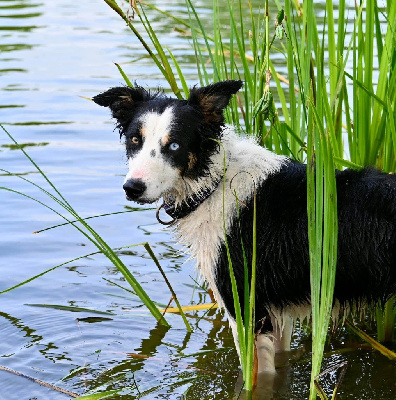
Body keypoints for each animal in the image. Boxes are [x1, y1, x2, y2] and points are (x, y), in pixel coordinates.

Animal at [93, 79, 396, 374]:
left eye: (175, 145)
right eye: (135, 139)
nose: (132, 188)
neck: (214, 185)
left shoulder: (247, 308)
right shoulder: (279, 311)